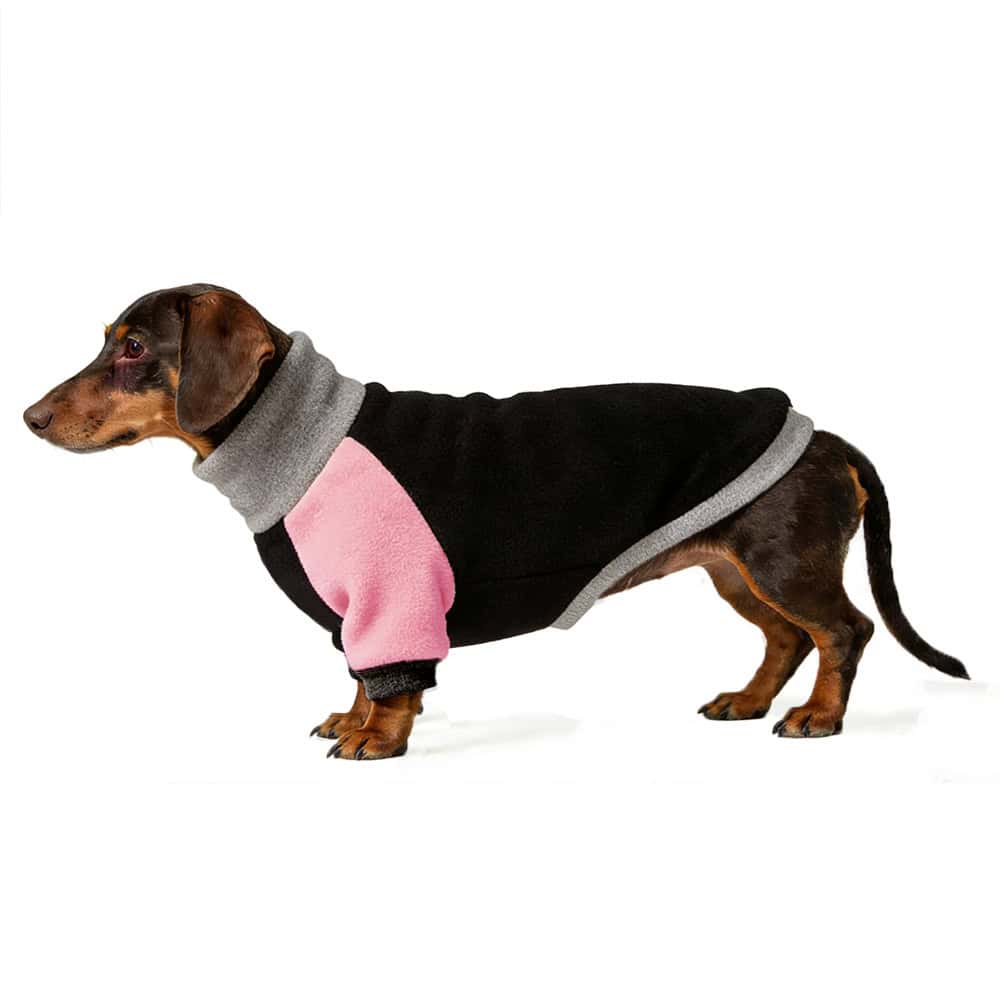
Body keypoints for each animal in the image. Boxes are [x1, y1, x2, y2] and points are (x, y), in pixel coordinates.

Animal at [23, 284, 967, 759]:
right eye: (108, 339)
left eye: (134, 348)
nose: (29, 417)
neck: (294, 434)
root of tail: (826, 436)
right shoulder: (358, 615)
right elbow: (360, 675)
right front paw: (351, 719)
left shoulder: (393, 599)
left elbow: (391, 682)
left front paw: (375, 740)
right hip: (737, 570)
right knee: (786, 637)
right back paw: (751, 699)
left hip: (783, 563)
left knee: (842, 632)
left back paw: (819, 718)